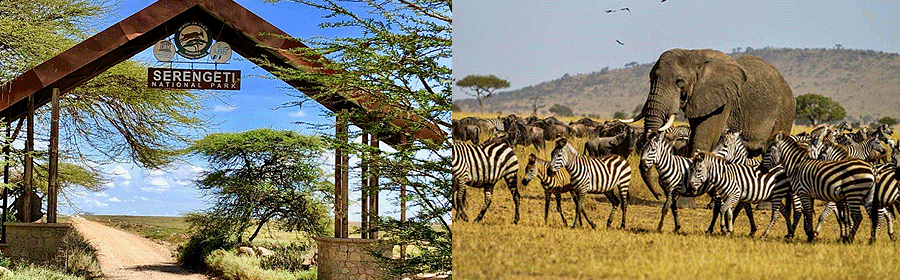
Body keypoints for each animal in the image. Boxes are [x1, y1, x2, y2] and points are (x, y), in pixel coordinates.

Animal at [624, 49, 796, 200]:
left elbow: (702, 140)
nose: (659, 195)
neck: (694, 56)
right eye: (651, 79)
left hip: (784, 113)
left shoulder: (722, 102)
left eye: (679, 81)